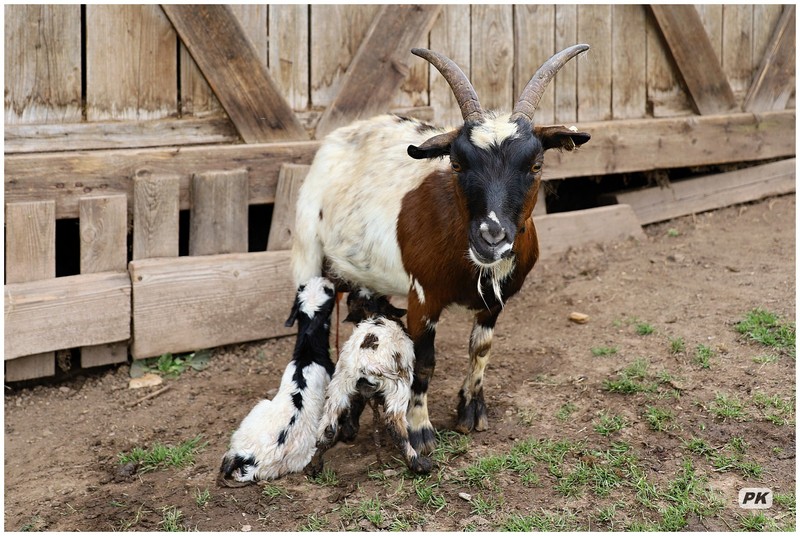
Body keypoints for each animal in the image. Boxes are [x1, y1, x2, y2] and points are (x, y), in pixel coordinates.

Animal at [290, 47, 592, 456]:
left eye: (536, 165)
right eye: (457, 163)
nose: (491, 237)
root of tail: (341, 134)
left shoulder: (494, 304)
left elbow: (480, 349)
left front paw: (471, 411)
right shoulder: (422, 298)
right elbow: (424, 364)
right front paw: (419, 430)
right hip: (307, 253)